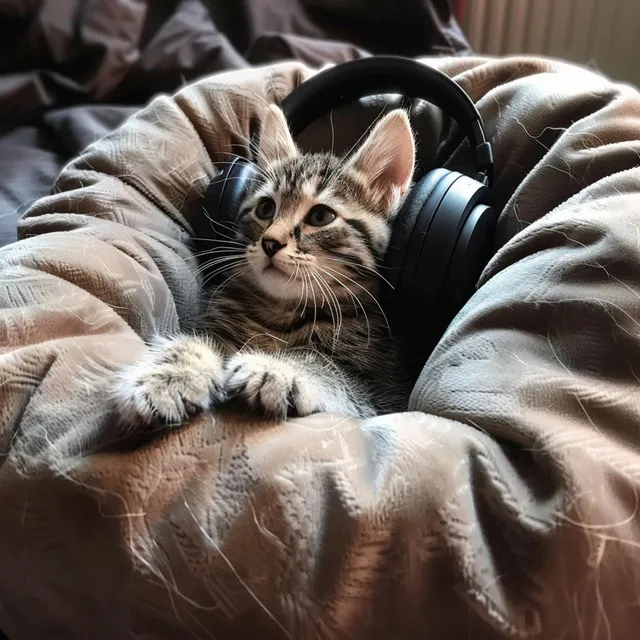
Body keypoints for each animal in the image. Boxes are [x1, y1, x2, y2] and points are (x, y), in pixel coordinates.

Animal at [114, 105, 416, 424]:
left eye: (321, 216)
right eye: (266, 209)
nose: (270, 243)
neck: (281, 311)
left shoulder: (381, 392)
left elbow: (326, 366)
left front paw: (277, 367)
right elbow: (195, 341)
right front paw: (169, 375)